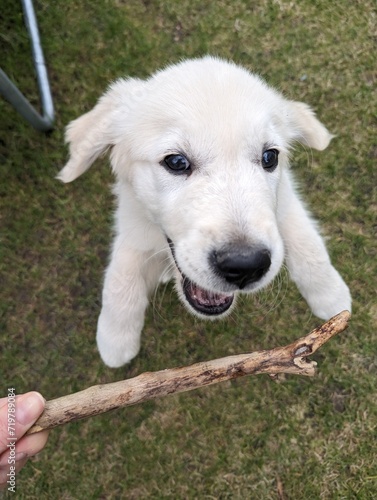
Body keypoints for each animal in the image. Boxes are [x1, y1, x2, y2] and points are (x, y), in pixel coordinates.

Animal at [58, 56, 350, 368]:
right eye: (176, 161)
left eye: (269, 157)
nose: (245, 266)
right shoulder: (133, 223)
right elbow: (119, 280)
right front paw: (114, 339)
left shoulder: (285, 199)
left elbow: (309, 245)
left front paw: (332, 297)